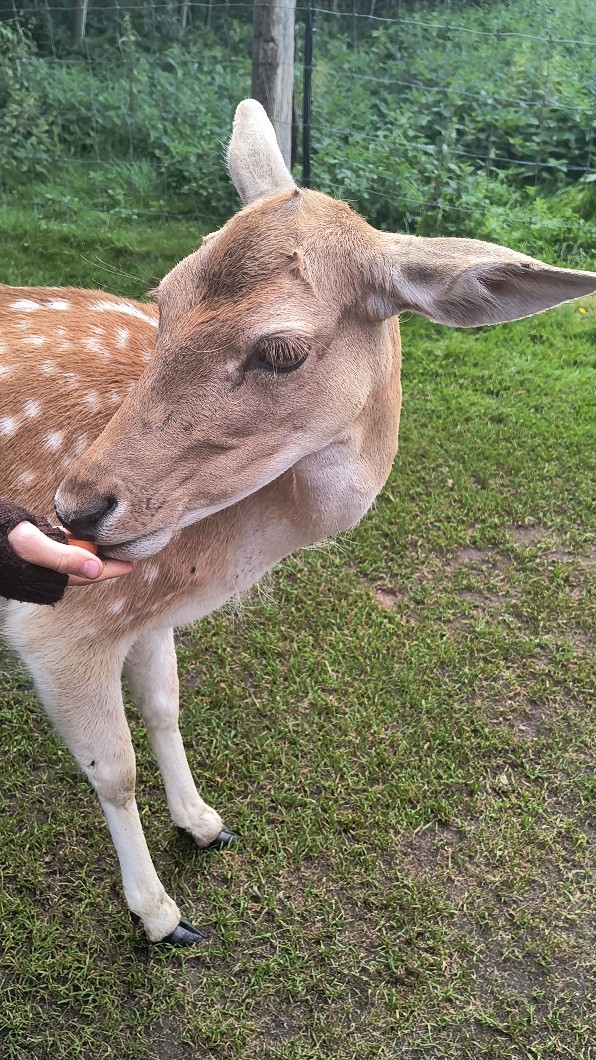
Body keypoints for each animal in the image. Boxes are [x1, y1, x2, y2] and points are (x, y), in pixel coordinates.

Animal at [1, 100, 595, 946]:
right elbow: (113, 773)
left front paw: (204, 823)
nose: (75, 507)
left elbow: (165, 707)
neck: (202, 564)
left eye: (282, 350)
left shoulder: (141, 612)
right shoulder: (62, 625)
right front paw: (159, 916)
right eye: (164, 296)